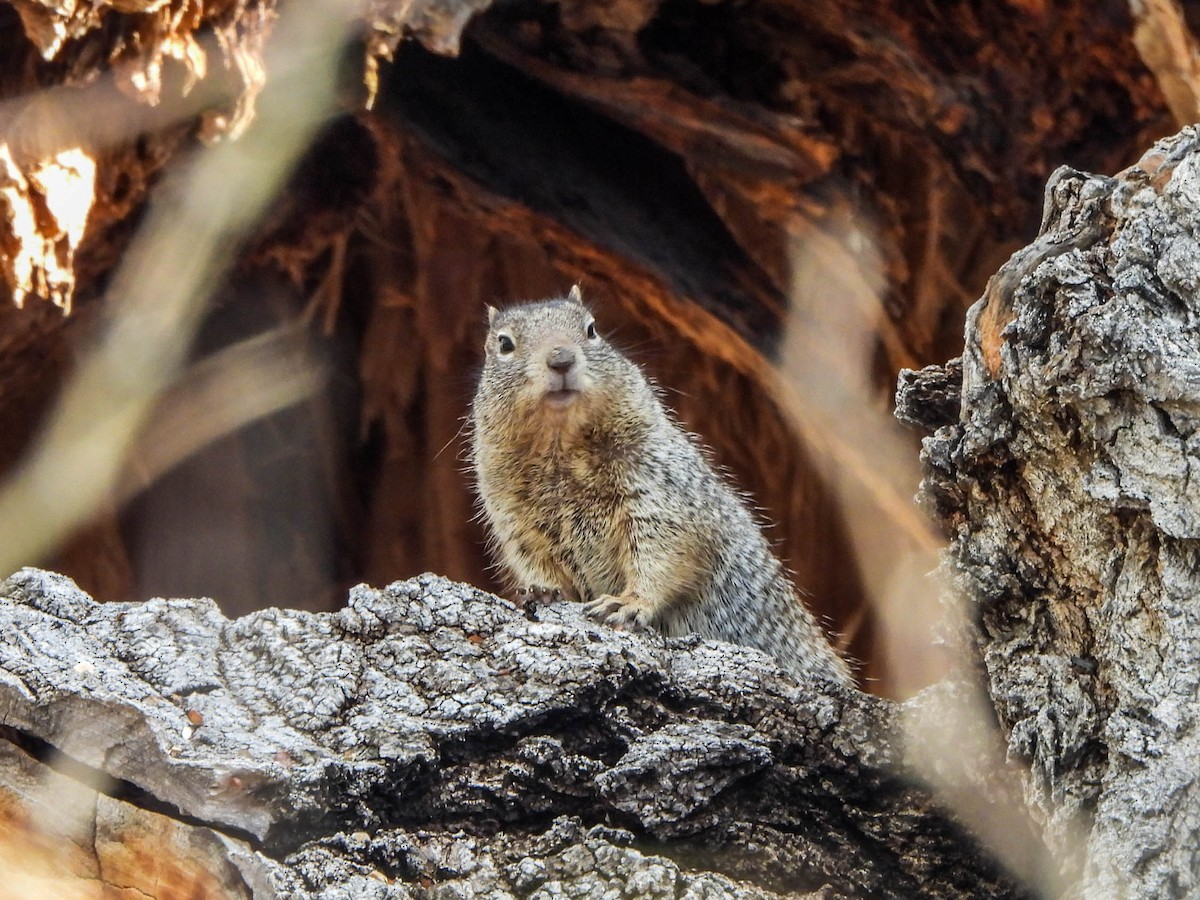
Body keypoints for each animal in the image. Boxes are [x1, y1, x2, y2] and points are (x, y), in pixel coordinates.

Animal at [470, 285, 851, 686]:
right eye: (504, 344)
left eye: (591, 329)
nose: (561, 359)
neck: (560, 447)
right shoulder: (515, 517)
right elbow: (533, 559)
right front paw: (541, 589)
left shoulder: (658, 489)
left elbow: (662, 552)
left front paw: (627, 602)